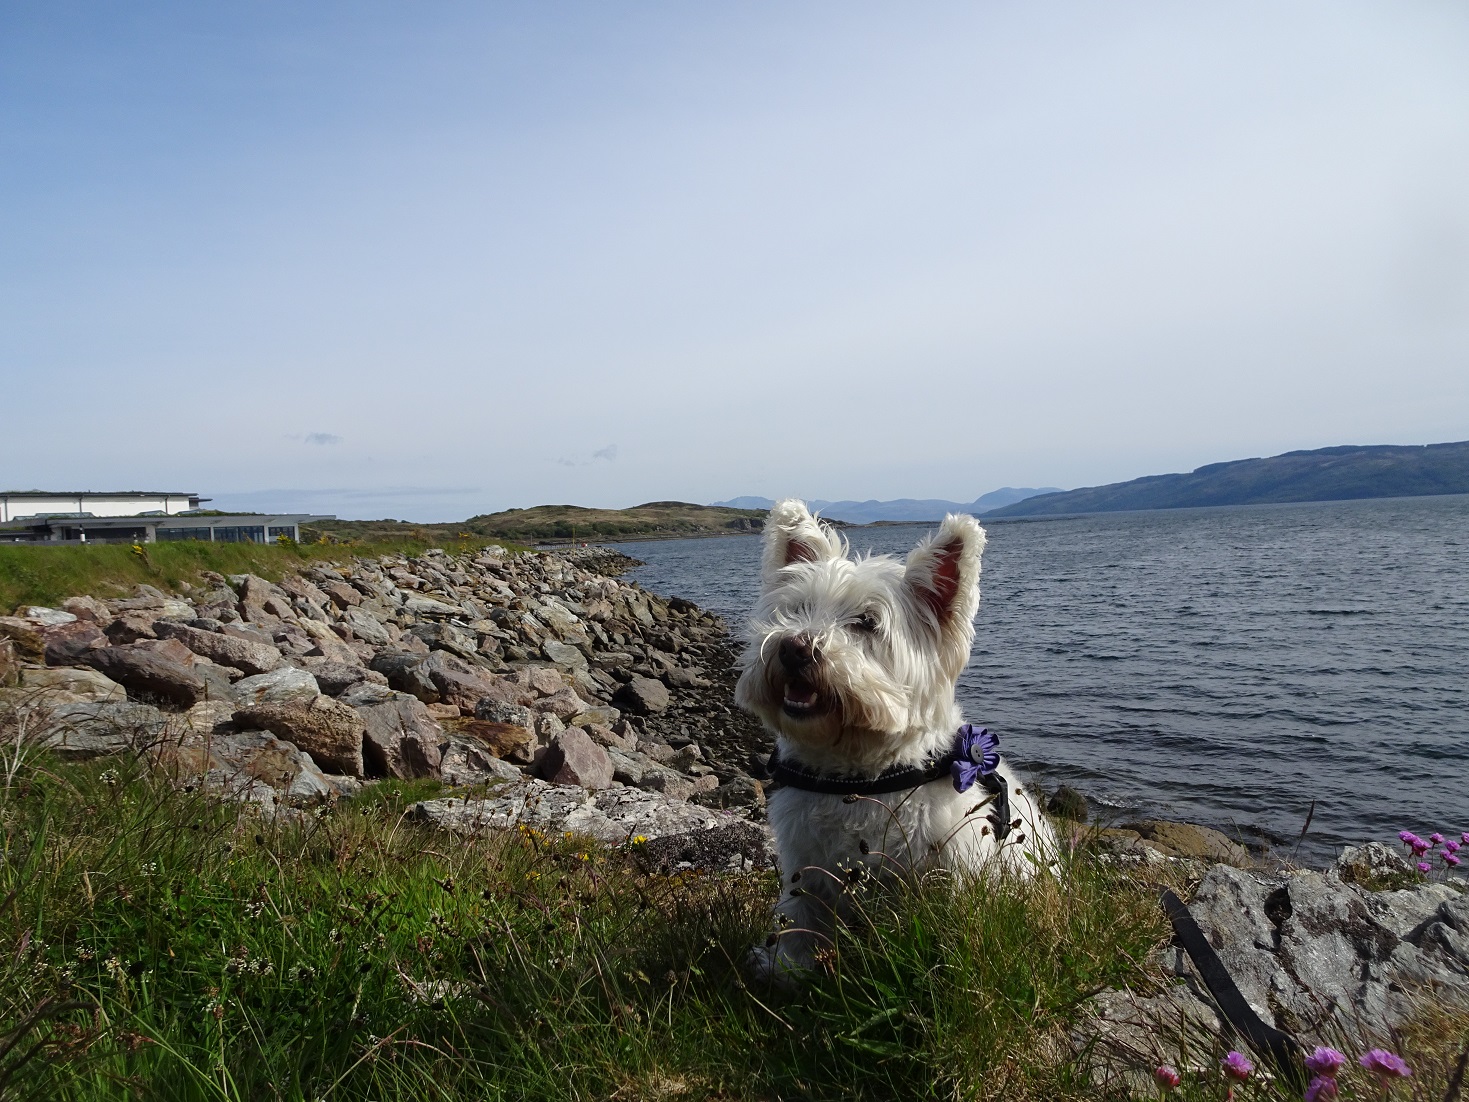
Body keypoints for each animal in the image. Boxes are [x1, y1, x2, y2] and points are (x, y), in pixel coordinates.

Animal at [734, 499, 1057, 975]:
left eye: (867, 622)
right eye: (797, 608)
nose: (793, 648)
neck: (856, 778)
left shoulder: (951, 874)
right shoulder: (803, 864)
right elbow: (799, 918)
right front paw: (787, 968)